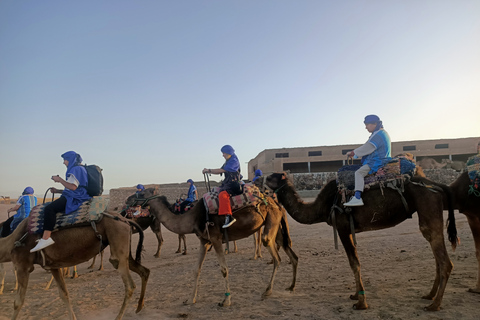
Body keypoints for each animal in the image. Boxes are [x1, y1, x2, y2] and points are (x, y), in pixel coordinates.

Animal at [0, 211, 150, 318]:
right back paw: (139, 307)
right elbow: (64, 294)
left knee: (129, 285)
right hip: (124, 249)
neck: (12, 242)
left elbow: (18, 303)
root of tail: (126, 220)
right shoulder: (53, 266)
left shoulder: (22, 265)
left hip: (117, 240)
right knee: (144, 271)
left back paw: (119, 316)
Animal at [126, 189, 300, 306]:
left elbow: (224, 269)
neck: (192, 218)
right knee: (292, 254)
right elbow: (196, 270)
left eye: (141, 192)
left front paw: (226, 300)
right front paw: (190, 299)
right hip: (276, 226)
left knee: (276, 256)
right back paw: (291, 287)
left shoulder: (216, 239)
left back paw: (268, 291)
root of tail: (276, 203)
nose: (127, 200)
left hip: (271, 225)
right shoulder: (204, 241)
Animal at [266, 172, 458, 310]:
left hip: (428, 207)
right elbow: (356, 261)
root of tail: (438, 185)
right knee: (436, 253)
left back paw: (434, 305)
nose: (260, 180)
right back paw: (429, 295)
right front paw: (356, 295)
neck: (323, 206)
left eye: (270, 178)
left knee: (444, 260)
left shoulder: (342, 229)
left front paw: (361, 303)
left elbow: (354, 263)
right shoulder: (349, 231)